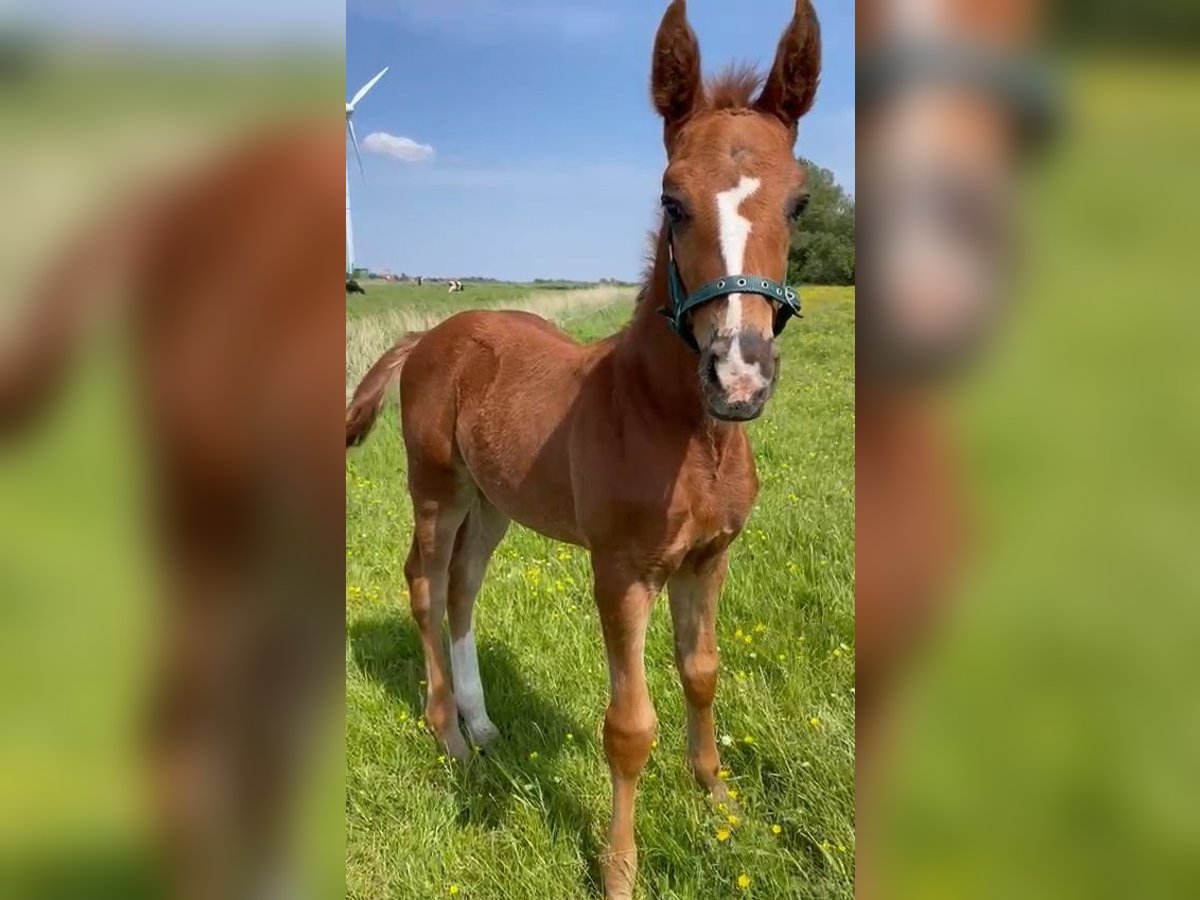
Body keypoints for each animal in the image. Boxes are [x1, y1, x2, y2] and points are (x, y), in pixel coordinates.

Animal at [343, 3, 820, 897]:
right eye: (672, 201)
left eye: (801, 202)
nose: (738, 373)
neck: (684, 430)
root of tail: (431, 336)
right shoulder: (621, 570)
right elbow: (629, 726)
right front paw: (620, 869)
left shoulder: (709, 559)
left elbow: (703, 673)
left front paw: (720, 807)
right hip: (437, 486)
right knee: (423, 581)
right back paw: (447, 736)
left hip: (493, 502)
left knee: (461, 589)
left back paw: (483, 725)